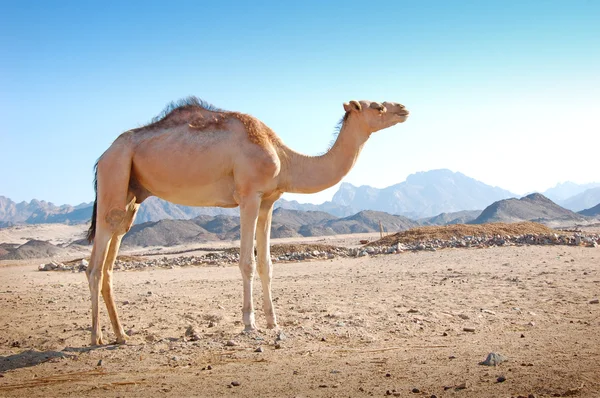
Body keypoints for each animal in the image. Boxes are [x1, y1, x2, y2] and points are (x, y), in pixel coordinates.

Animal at [84, 96, 408, 346]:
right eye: (378, 106)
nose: (403, 108)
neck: (285, 159)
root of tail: (102, 156)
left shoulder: (268, 202)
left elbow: (267, 263)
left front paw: (273, 321)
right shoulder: (249, 196)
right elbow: (247, 262)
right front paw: (249, 323)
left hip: (131, 196)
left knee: (111, 259)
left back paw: (122, 335)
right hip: (115, 175)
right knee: (95, 264)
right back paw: (96, 337)